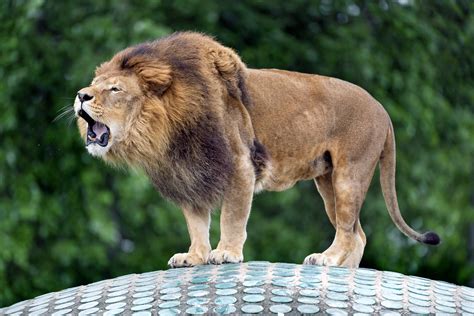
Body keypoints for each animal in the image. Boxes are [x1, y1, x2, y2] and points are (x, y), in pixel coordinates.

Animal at [74, 32, 440, 268]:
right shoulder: (189, 176)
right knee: (358, 233)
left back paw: (327, 259)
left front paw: (226, 253)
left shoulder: (240, 166)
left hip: (350, 174)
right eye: (95, 85)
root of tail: (382, 110)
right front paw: (194, 257)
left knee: (349, 231)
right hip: (327, 180)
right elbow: (196, 223)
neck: (168, 132)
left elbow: (233, 216)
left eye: (115, 89)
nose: (80, 95)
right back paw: (344, 270)